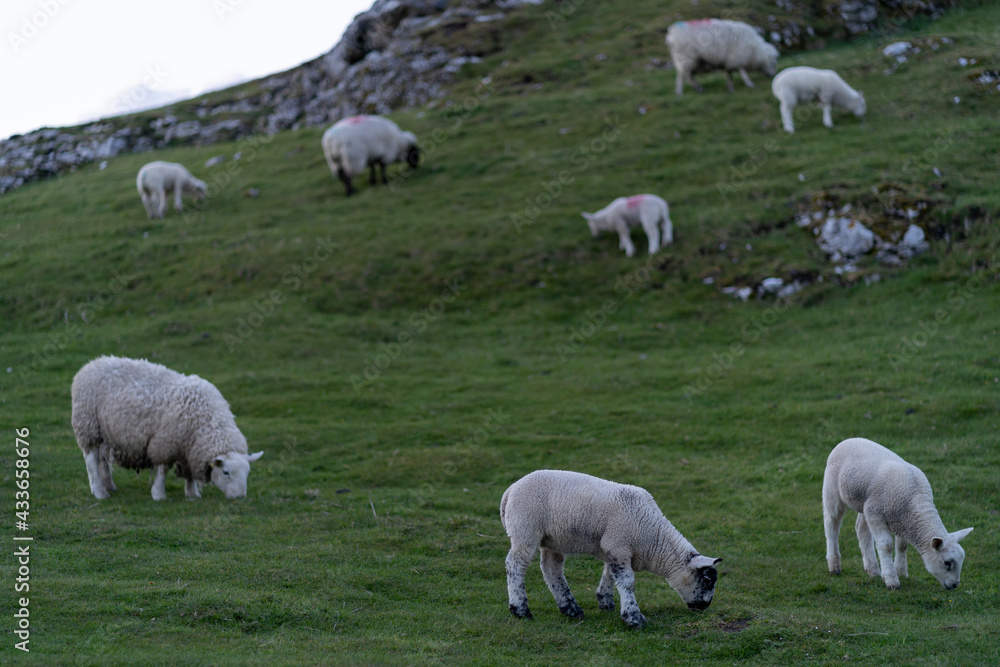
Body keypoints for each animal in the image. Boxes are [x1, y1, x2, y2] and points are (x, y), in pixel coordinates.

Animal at [71, 356, 264, 501]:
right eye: (226, 472)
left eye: (247, 473)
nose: (240, 497)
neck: (207, 421)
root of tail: (91, 364)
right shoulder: (165, 442)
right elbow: (162, 470)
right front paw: (158, 494)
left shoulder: (188, 446)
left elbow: (188, 472)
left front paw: (192, 494)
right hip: (88, 426)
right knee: (91, 460)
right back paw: (99, 492)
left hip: (105, 433)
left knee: (102, 460)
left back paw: (109, 486)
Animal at [500, 469, 722, 629]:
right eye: (707, 580)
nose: (705, 607)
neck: (653, 536)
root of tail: (510, 490)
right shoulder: (618, 544)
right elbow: (628, 582)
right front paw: (633, 618)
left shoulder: (614, 547)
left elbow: (611, 574)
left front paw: (605, 601)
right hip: (525, 530)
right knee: (515, 565)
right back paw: (521, 610)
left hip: (553, 539)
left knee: (550, 568)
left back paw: (571, 608)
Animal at [822, 437, 973, 590]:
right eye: (947, 563)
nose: (954, 585)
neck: (915, 499)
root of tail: (850, 439)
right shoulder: (877, 515)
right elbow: (886, 545)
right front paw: (891, 579)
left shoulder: (903, 520)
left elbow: (902, 545)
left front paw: (901, 572)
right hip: (832, 490)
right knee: (831, 524)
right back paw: (834, 565)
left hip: (865, 503)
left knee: (861, 529)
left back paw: (873, 570)